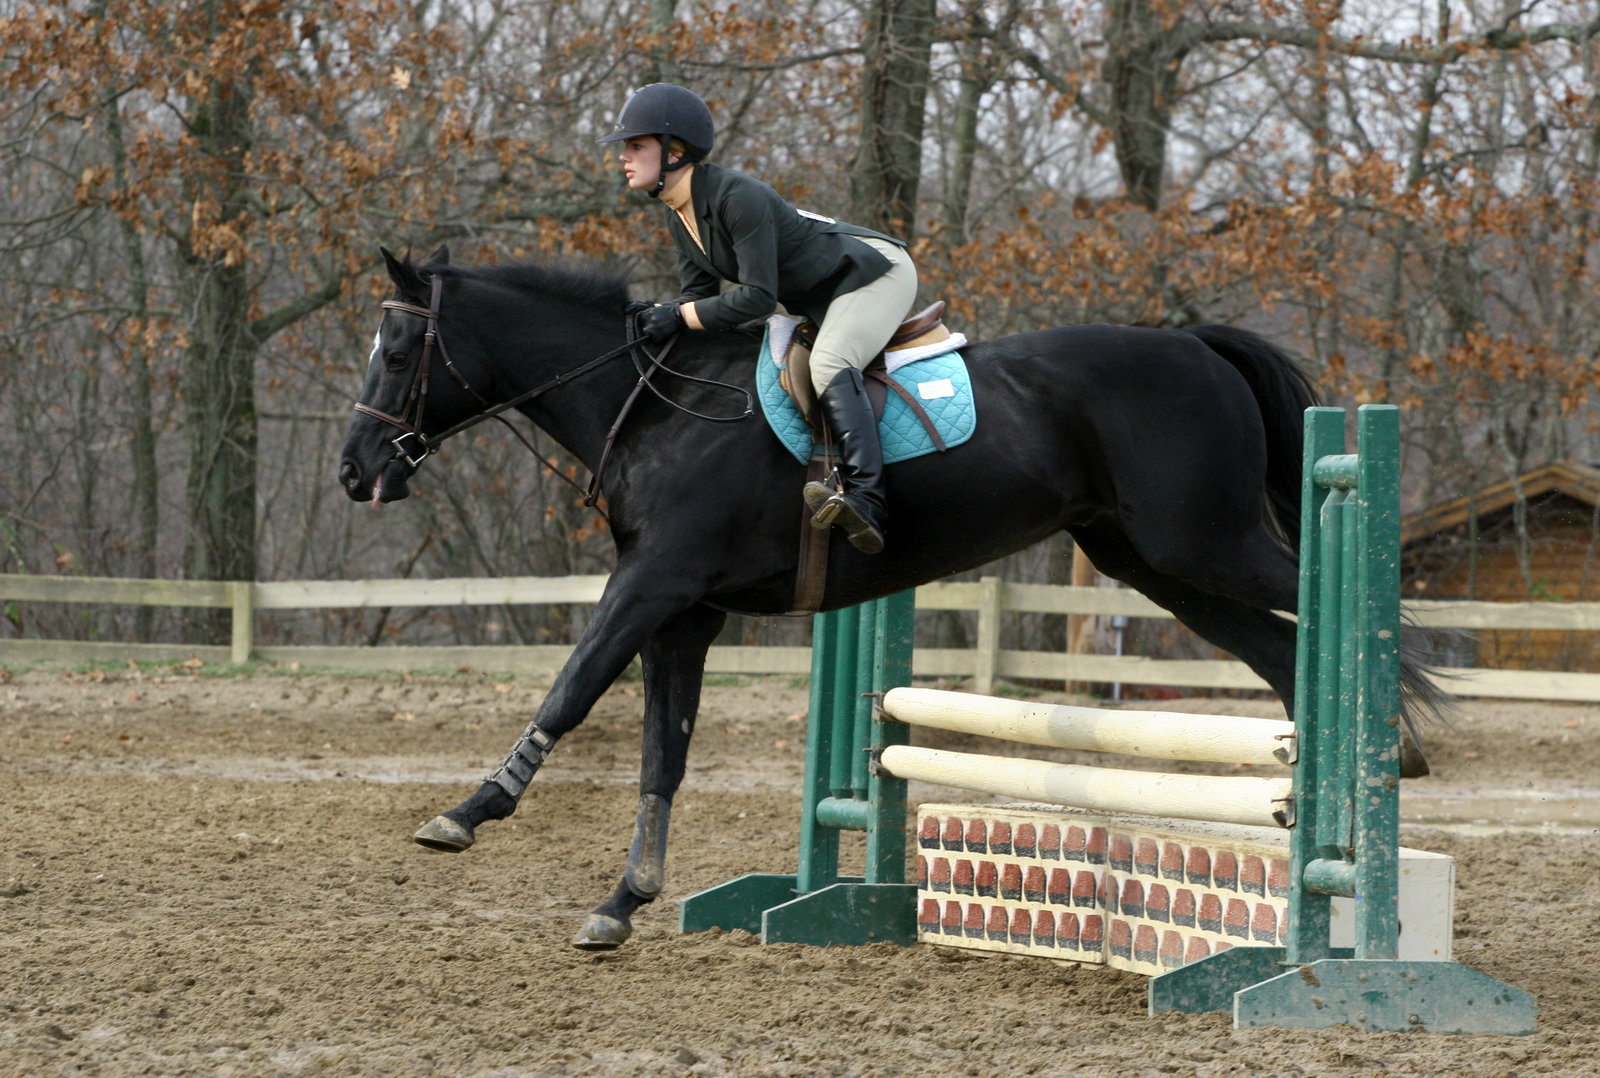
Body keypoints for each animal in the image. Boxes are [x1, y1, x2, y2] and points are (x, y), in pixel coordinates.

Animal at [337, 246, 1440, 946]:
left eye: (395, 351)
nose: (354, 473)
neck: (653, 403)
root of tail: (1198, 345)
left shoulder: (656, 583)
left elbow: (568, 692)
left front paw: (466, 814)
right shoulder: (685, 611)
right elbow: (662, 752)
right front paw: (623, 901)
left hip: (1204, 540)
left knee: (1352, 610)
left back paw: (1388, 749)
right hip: (1151, 560)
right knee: (1277, 648)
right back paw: (1344, 787)